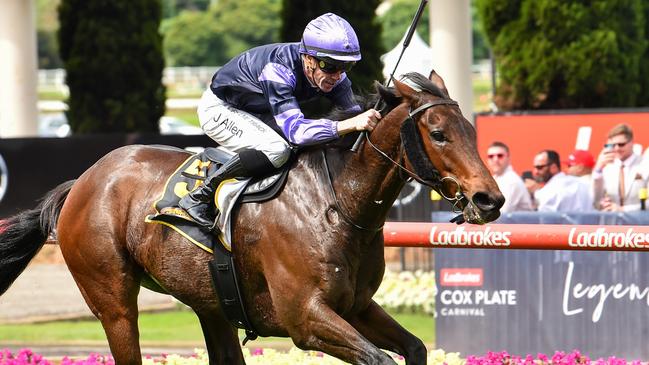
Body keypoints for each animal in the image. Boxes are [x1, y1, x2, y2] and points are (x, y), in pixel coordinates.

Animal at [0, 69, 502, 362]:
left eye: (470, 128)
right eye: (437, 133)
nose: (489, 199)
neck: (337, 203)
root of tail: (83, 181)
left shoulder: (355, 307)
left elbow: (415, 347)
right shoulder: (305, 318)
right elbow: (376, 358)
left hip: (211, 303)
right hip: (113, 302)